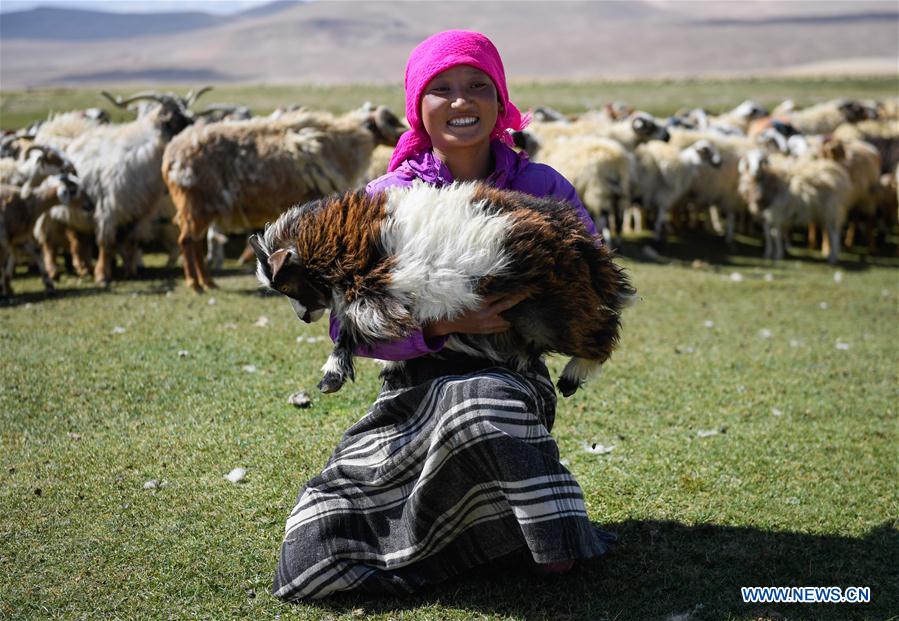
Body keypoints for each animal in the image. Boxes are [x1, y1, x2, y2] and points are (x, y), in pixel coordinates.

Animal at [163, 104, 406, 290]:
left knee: (194, 241)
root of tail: (170, 157)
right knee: (187, 241)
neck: (344, 141)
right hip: (196, 205)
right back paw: (195, 284)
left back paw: (208, 282)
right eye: (391, 121)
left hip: (199, 208)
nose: (404, 132)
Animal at [250, 182, 636, 398]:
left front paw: (332, 375)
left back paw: (572, 376)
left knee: (601, 334)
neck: (343, 242)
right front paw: (389, 366)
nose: (303, 318)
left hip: (549, 311)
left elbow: (350, 330)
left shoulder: (377, 294)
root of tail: (583, 241)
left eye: (285, 283)